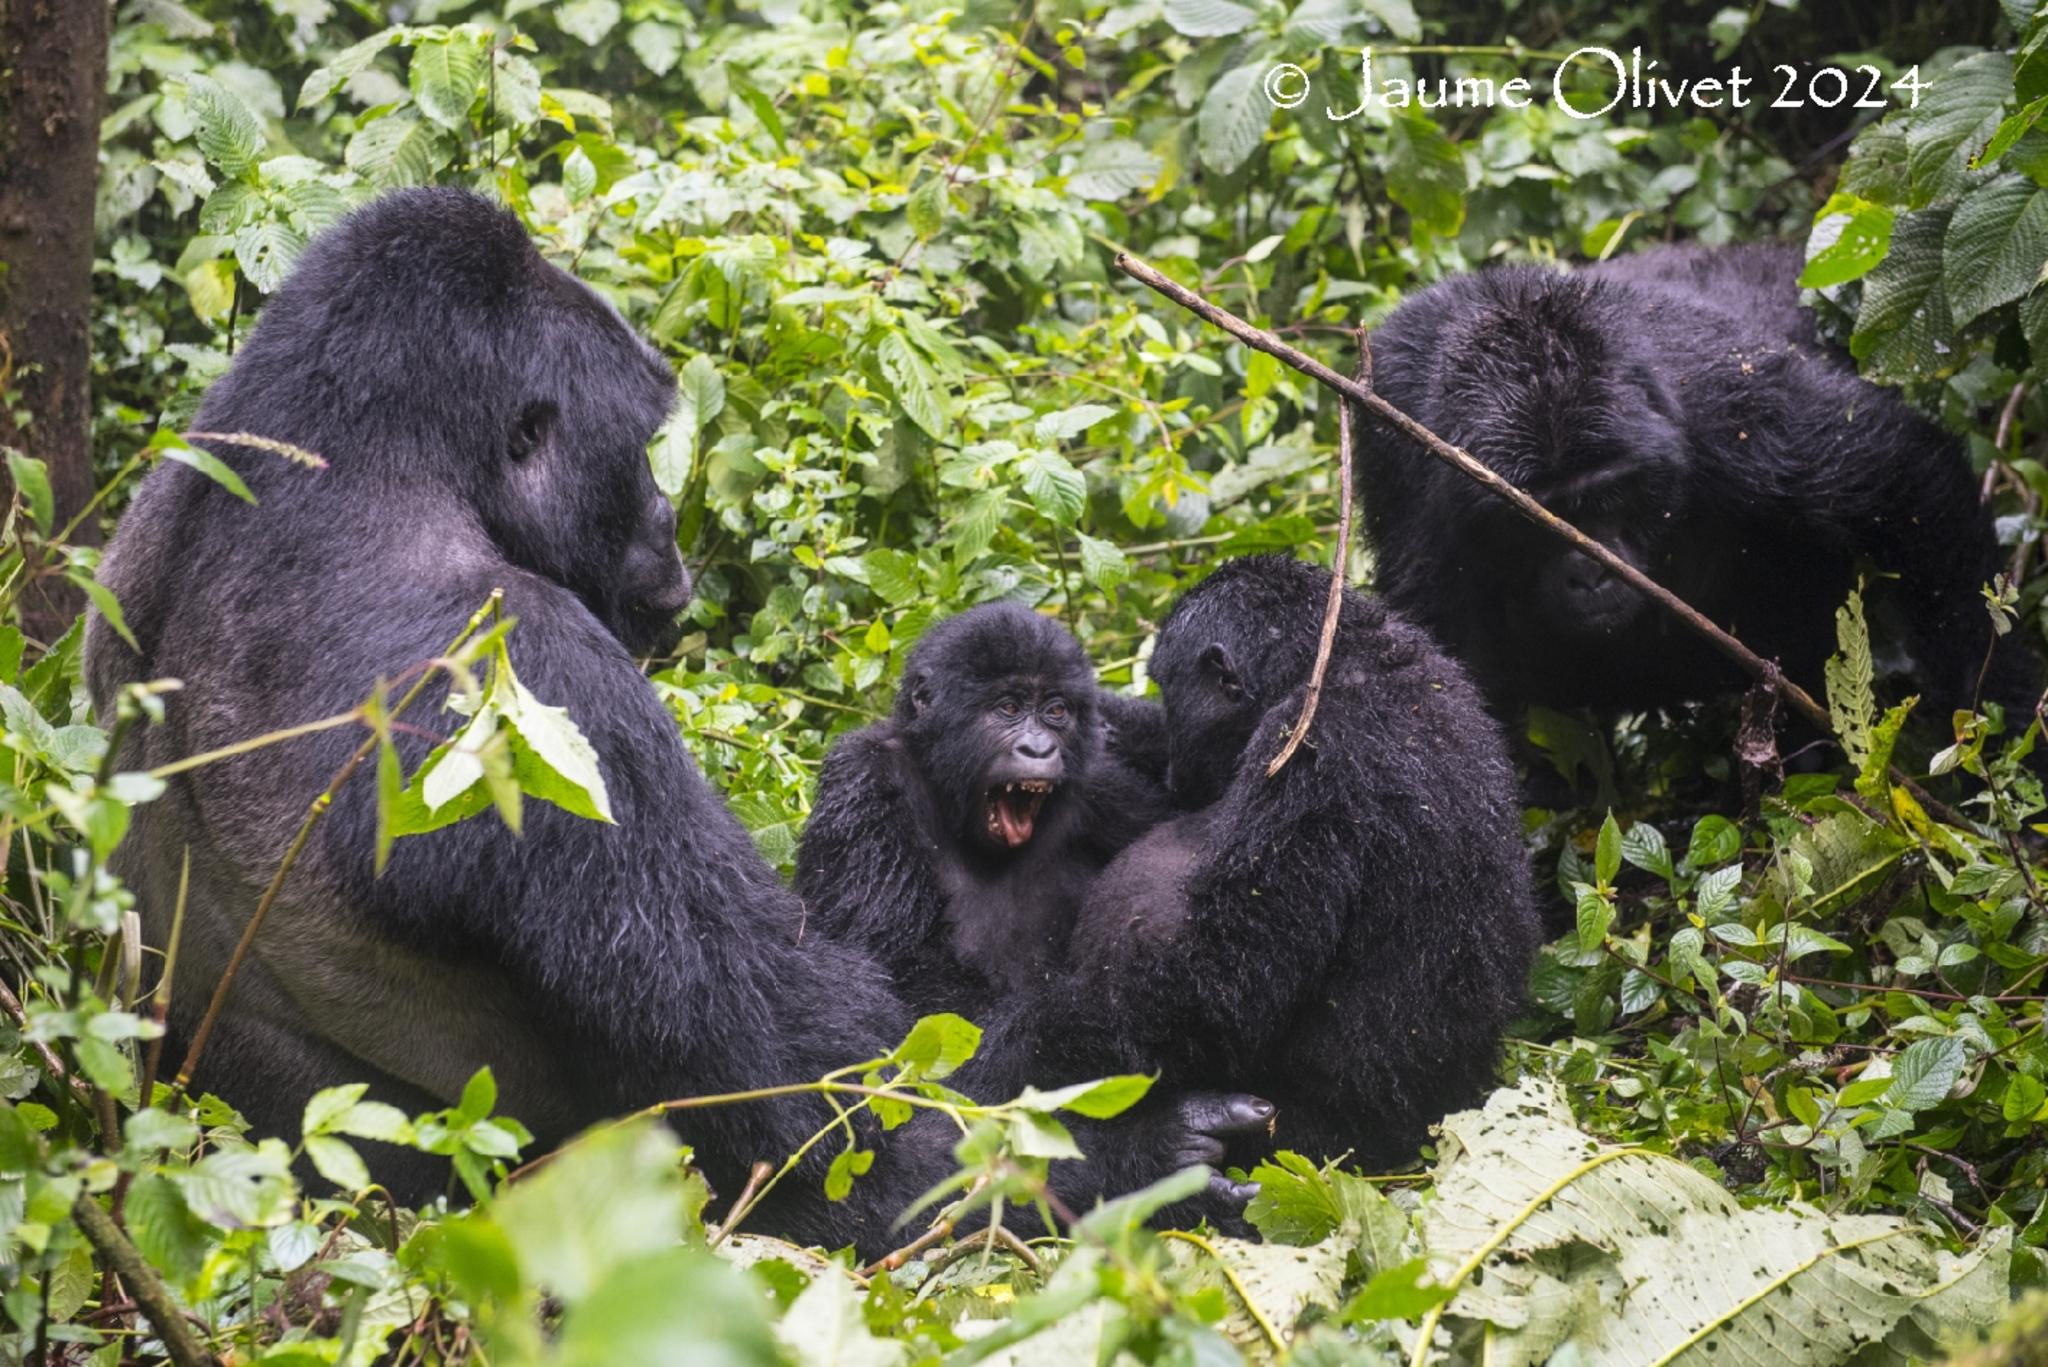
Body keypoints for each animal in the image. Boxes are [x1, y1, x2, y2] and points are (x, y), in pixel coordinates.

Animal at [802, 602, 1187, 1020]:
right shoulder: (864, 776)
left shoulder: (1101, 783)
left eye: (1056, 711)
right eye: (1009, 708)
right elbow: (893, 970)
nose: (1039, 749)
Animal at [1024, 561, 1540, 1172]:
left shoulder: (1309, 749)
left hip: (1324, 1146)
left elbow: (1220, 985)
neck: (1339, 659)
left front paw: (1020, 1045)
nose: (1176, 765)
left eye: (1173, 694)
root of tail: (1452, 1107)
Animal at [1351, 241, 2007, 721]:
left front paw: (2000, 719)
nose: (1590, 574)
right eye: (1528, 518)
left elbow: (1907, 484)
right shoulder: (1406, 461)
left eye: (1610, 495)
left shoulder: (1734, 412)